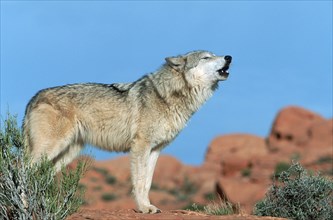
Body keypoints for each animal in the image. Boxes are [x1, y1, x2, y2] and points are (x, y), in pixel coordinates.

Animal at [22, 50, 231, 213]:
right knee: (23, 171)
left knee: (41, 177)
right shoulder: (140, 146)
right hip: (50, 150)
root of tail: (34, 97)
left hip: (66, 154)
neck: (168, 95)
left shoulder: (155, 149)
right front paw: (143, 208)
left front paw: (149, 206)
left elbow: (147, 182)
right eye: (206, 57)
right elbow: (138, 180)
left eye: (215, 54)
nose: (229, 57)